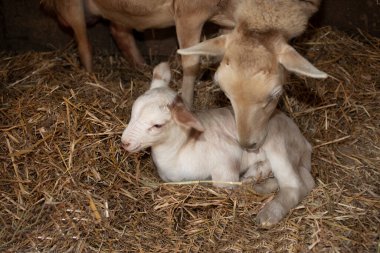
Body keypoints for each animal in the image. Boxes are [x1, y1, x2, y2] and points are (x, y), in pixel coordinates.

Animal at [121, 62, 314, 226]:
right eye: (132, 113)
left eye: (157, 125)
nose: (125, 142)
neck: (181, 148)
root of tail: (304, 142)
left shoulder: (227, 160)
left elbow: (225, 186)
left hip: (279, 145)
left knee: (296, 185)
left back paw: (268, 214)